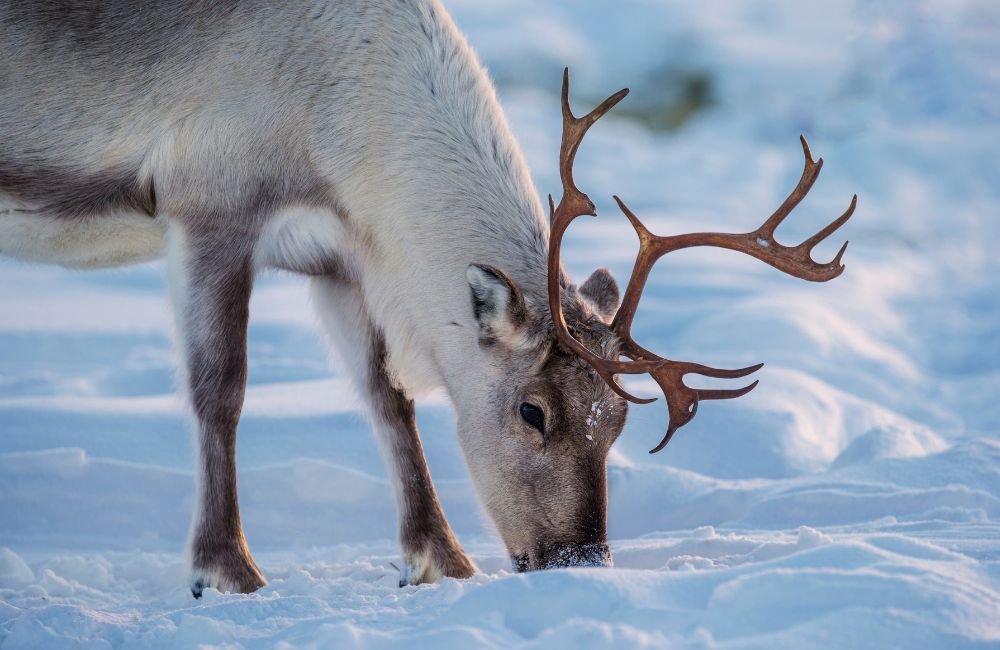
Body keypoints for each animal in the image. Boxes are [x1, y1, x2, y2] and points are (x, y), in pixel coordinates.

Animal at [0, 0, 855, 597]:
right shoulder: (209, 204)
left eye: (618, 419)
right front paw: (226, 568)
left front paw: (439, 557)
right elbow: (221, 389)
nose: (580, 560)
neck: (346, 124)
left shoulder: (340, 255)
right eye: (533, 410)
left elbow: (389, 397)